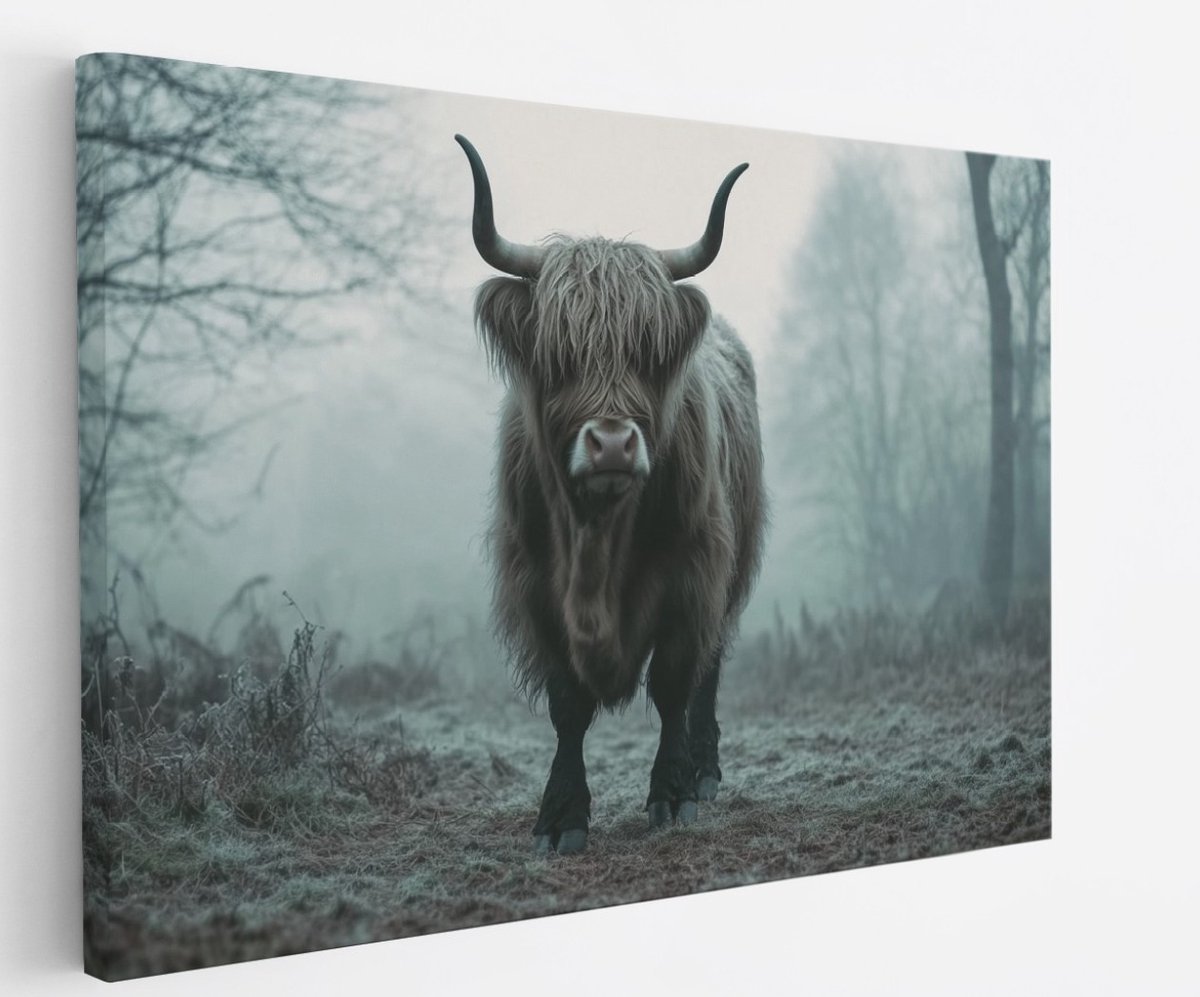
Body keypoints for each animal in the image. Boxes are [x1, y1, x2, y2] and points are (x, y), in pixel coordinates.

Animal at [456, 134, 766, 855]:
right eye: (559, 353)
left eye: (649, 352)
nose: (614, 445)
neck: (596, 534)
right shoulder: (535, 585)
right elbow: (568, 705)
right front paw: (561, 815)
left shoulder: (693, 573)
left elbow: (675, 683)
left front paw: (673, 793)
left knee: (710, 666)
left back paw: (705, 771)